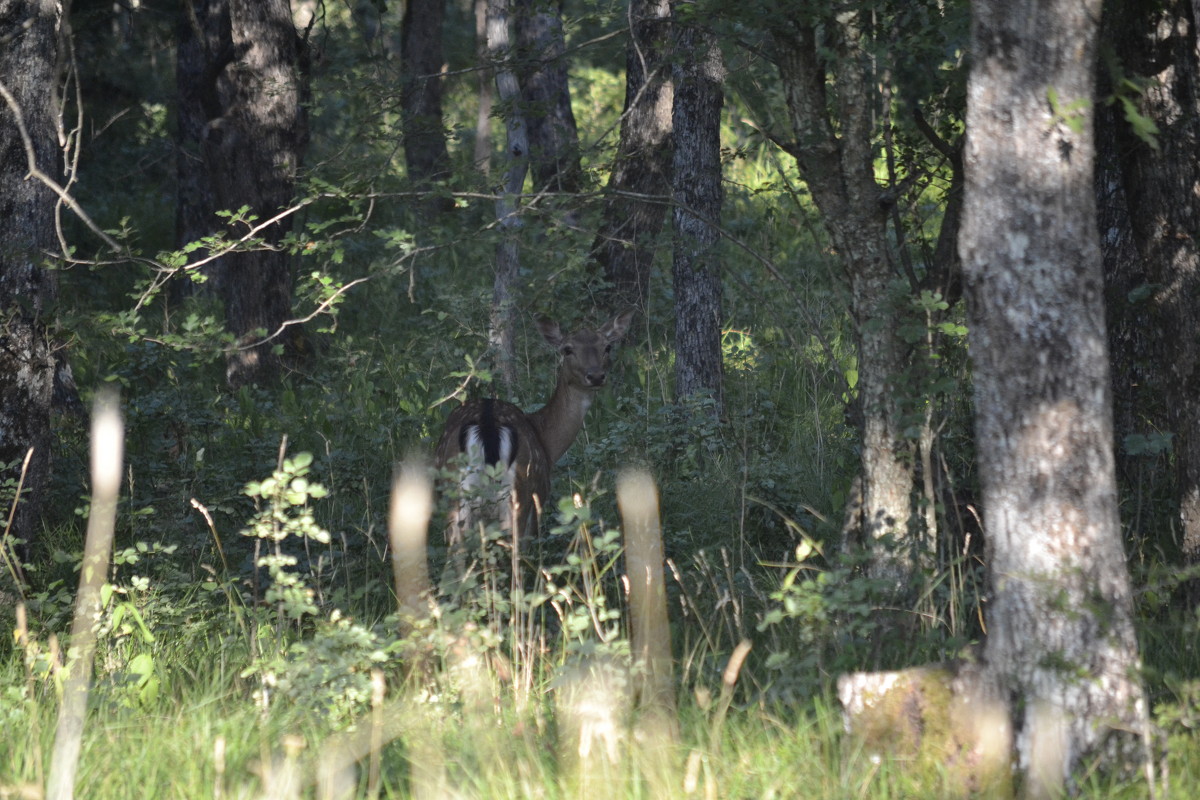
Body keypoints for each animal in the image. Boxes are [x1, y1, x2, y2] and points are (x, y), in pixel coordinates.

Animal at [434, 309, 638, 554]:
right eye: (567, 349)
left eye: (607, 346)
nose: (596, 376)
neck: (547, 441)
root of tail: (487, 426)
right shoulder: (540, 495)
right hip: (519, 493)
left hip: (453, 497)